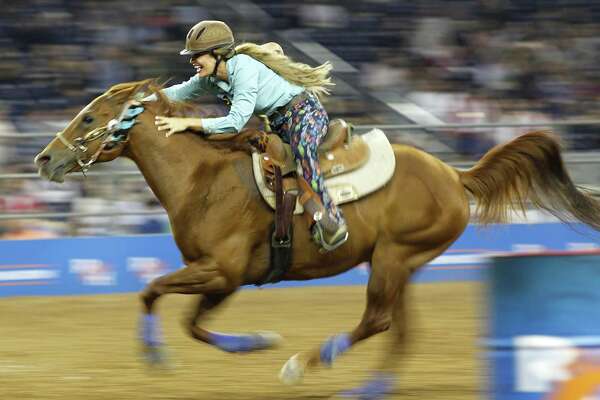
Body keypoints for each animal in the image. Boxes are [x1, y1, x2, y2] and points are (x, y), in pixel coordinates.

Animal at [34, 79, 600, 398]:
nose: (44, 159)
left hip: (394, 258)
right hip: (397, 263)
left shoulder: (221, 271)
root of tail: (454, 174)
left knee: (377, 320)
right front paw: (254, 341)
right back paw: (367, 388)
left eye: (89, 117)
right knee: (399, 330)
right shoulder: (223, 279)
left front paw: (157, 356)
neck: (203, 180)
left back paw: (305, 365)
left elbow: (152, 292)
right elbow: (190, 322)